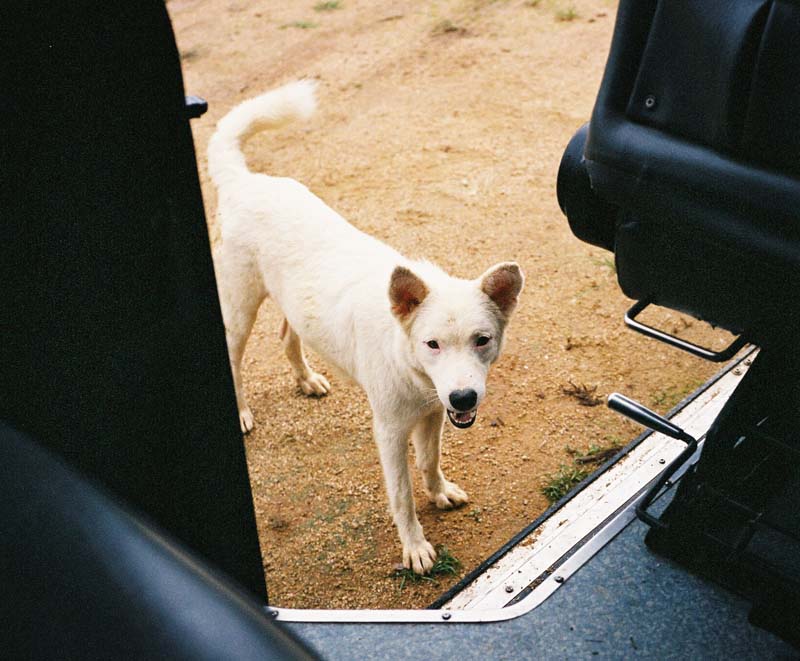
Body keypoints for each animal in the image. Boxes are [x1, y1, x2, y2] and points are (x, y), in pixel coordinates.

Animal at [208, 81, 524, 574]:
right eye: (432, 344)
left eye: (482, 340)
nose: (464, 397)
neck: (408, 363)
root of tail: (245, 180)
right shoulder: (390, 431)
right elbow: (402, 496)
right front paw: (414, 547)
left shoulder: (433, 414)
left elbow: (429, 461)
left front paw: (439, 492)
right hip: (238, 309)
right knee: (234, 356)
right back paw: (240, 410)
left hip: (293, 304)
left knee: (287, 337)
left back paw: (306, 379)